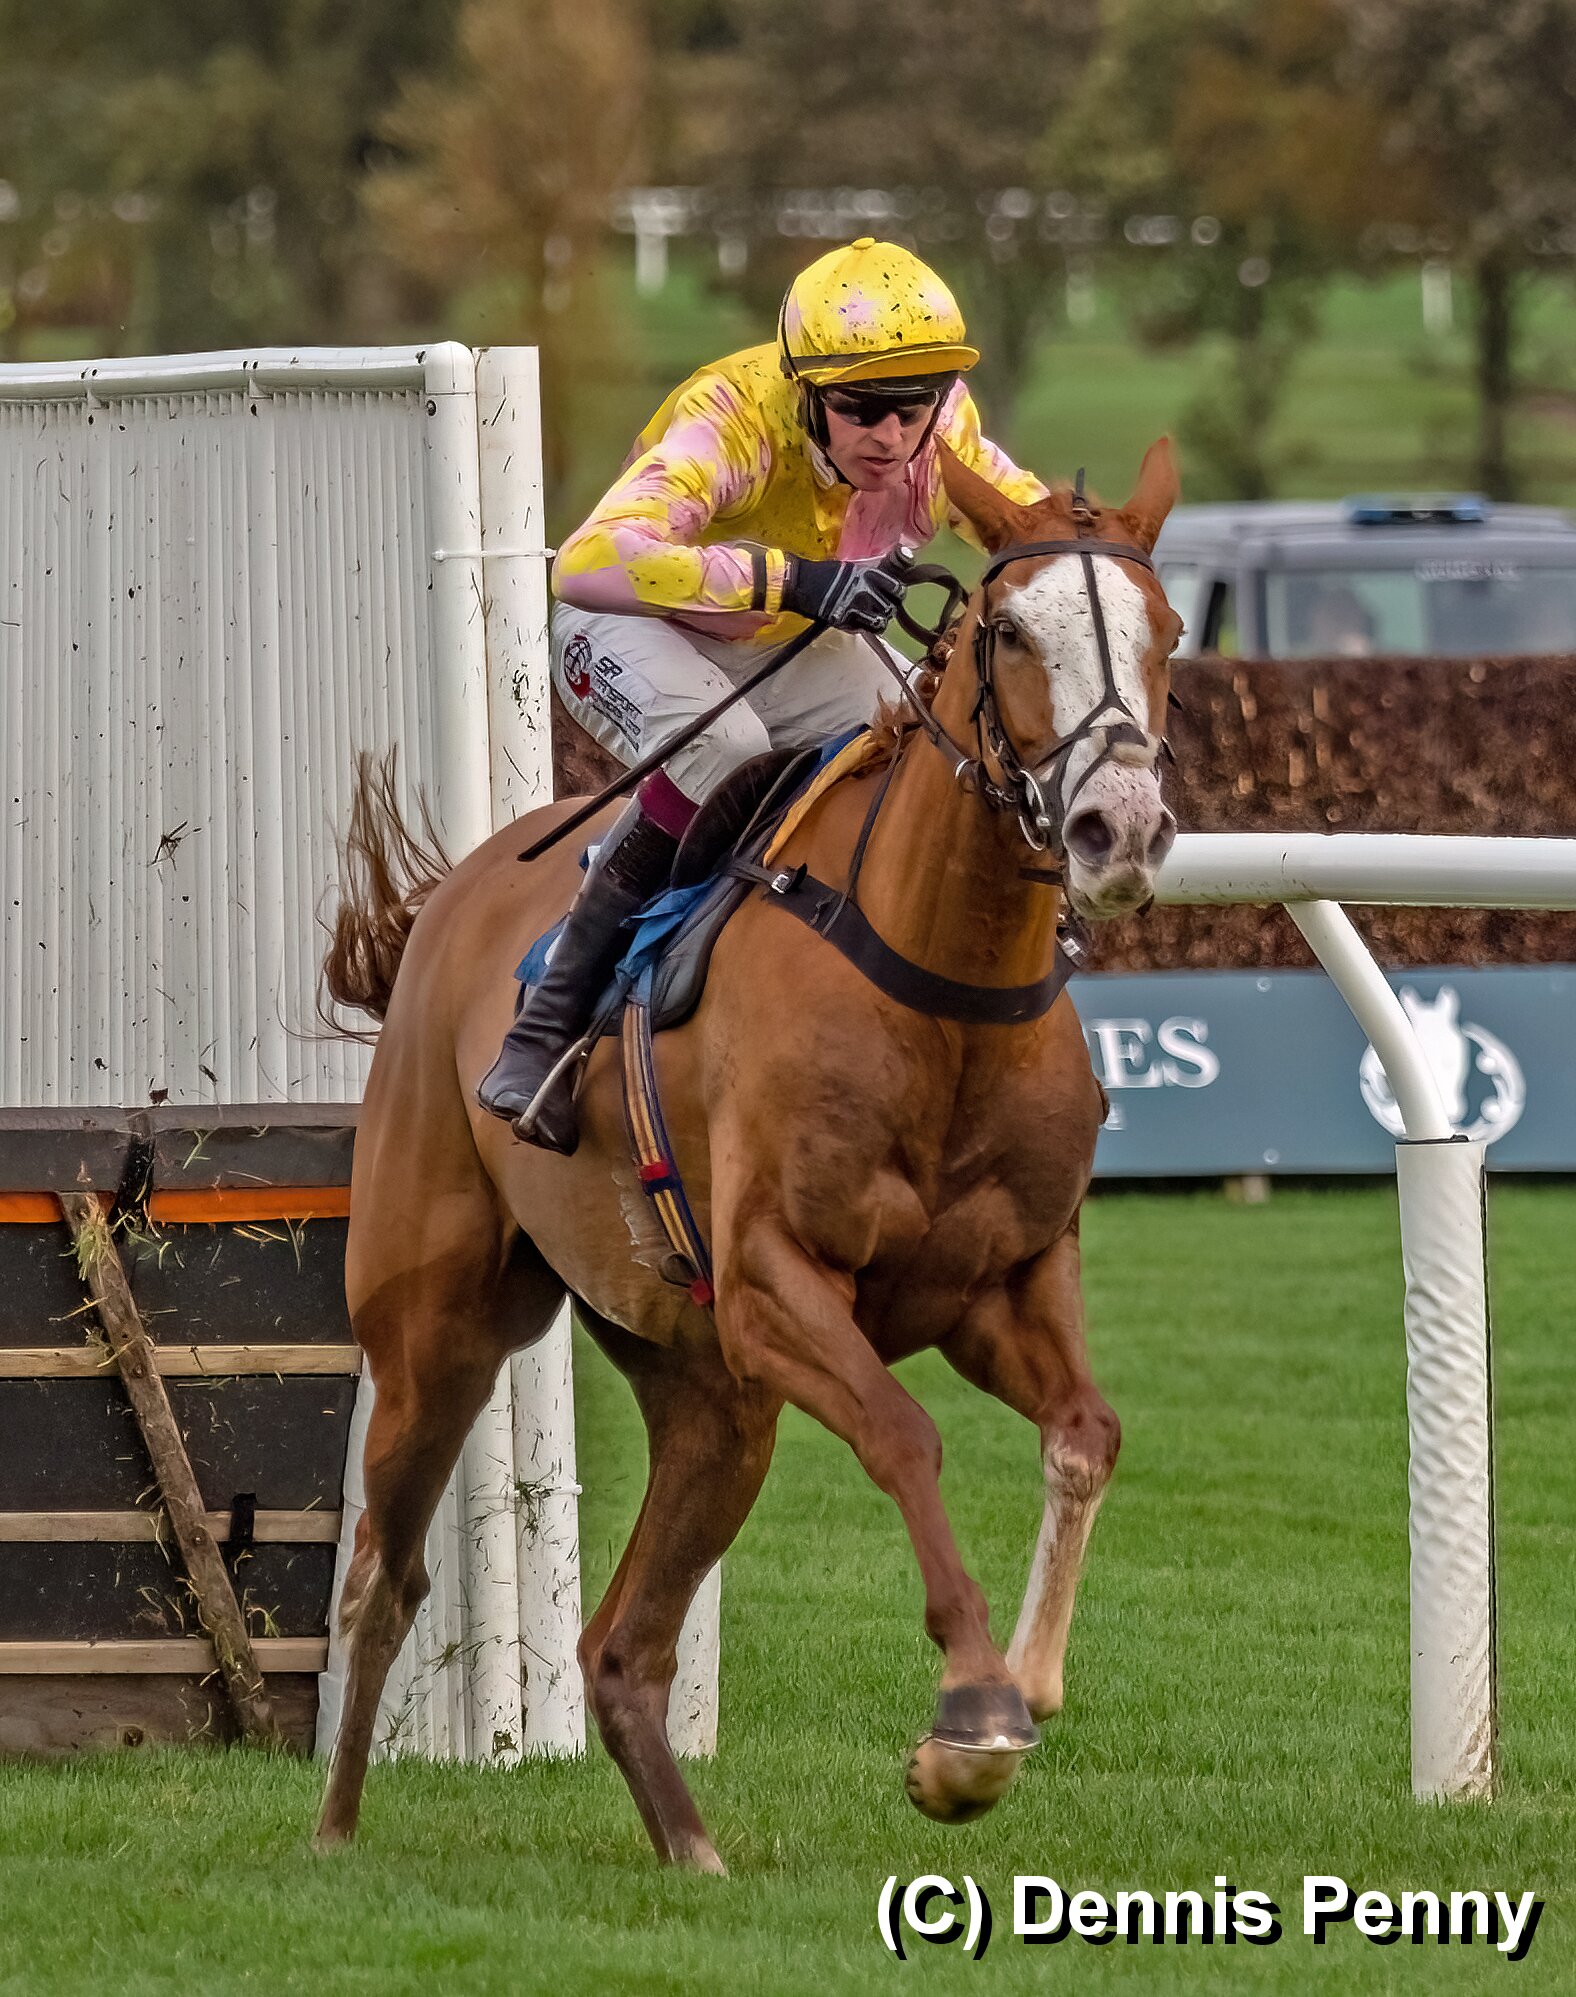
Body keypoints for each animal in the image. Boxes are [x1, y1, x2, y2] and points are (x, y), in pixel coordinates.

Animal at [314, 440, 1183, 1870]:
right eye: (1007, 629)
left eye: (1169, 630)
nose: (1118, 826)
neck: (939, 985)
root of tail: (449, 898)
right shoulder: (779, 1280)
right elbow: (903, 1435)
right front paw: (969, 1717)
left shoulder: (1004, 1284)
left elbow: (1086, 1433)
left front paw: (1032, 1679)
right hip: (435, 1327)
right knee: (384, 1580)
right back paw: (334, 1831)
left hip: (709, 1393)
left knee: (620, 1643)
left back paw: (693, 1848)